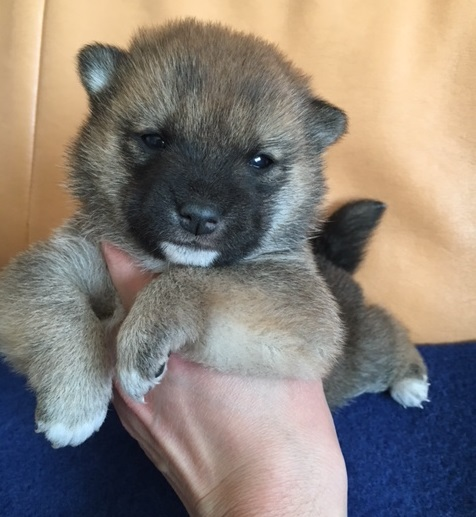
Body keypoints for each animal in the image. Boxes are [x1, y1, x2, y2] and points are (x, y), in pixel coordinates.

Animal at [0, 19, 428, 448]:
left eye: (260, 161)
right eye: (154, 139)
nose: (199, 217)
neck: (157, 259)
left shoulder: (301, 308)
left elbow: (198, 281)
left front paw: (142, 340)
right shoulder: (56, 262)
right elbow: (57, 311)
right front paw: (73, 400)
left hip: (364, 349)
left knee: (391, 330)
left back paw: (412, 379)